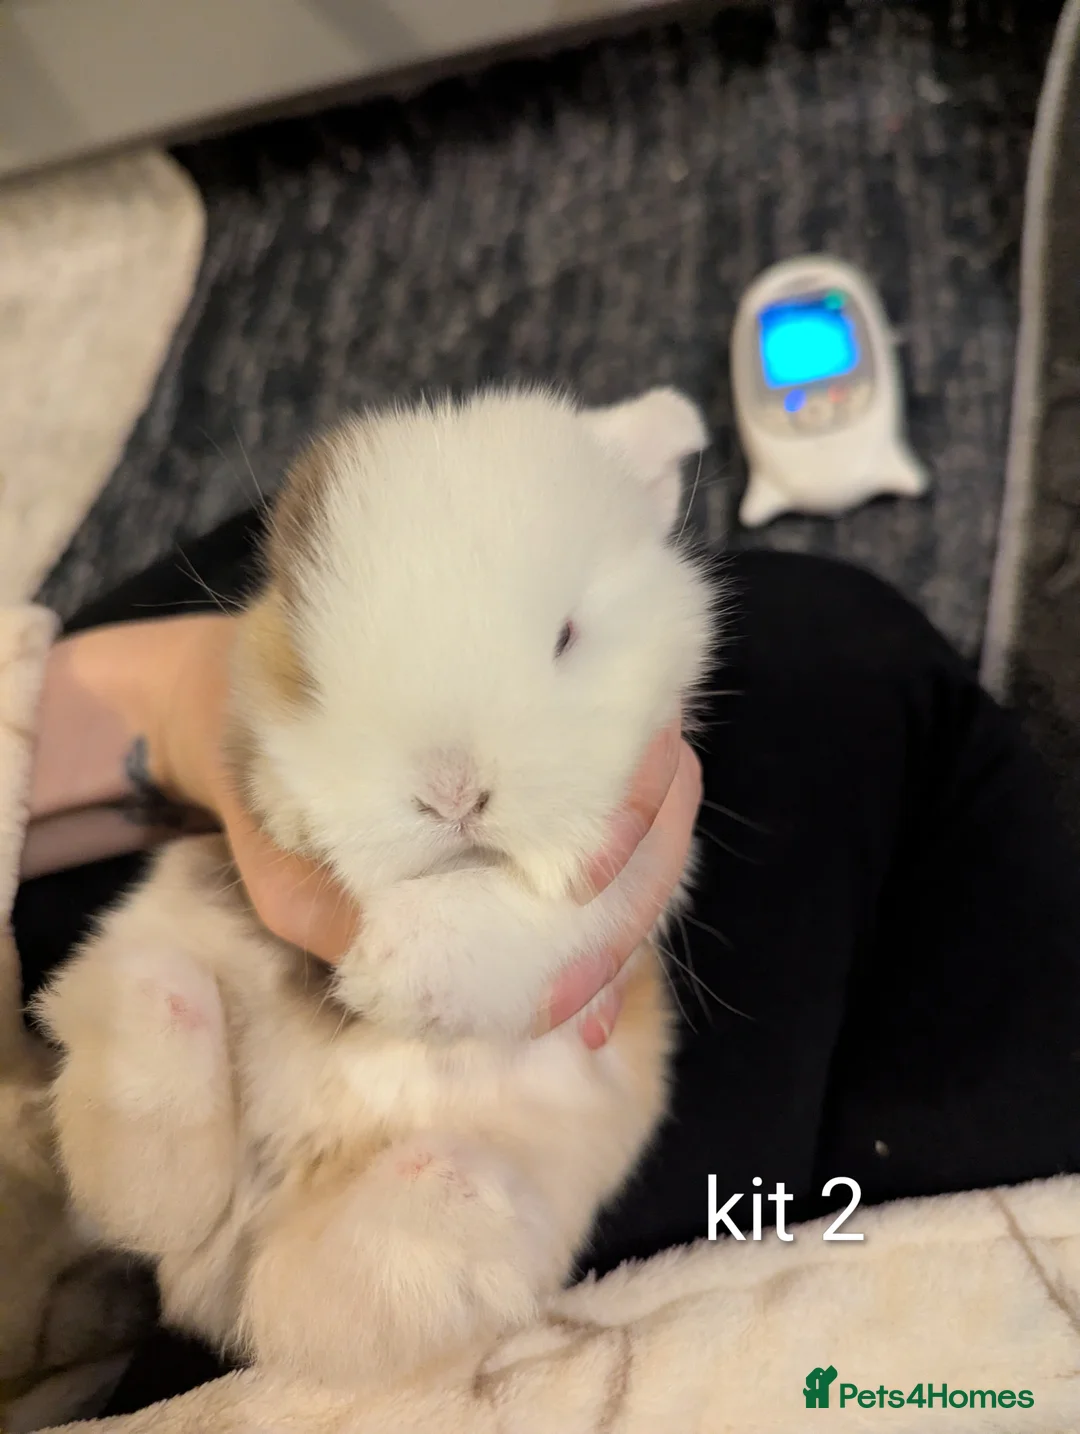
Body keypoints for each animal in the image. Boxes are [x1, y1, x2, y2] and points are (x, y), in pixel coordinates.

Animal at [35, 385, 719, 1393]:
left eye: (566, 637)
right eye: (310, 660)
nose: (452, 790)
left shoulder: (622, 871)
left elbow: (523, 915)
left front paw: (385, 969)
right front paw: (301, 834)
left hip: (460, 1221)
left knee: (309, 1295)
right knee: (150, 1171)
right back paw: (164, 1035)